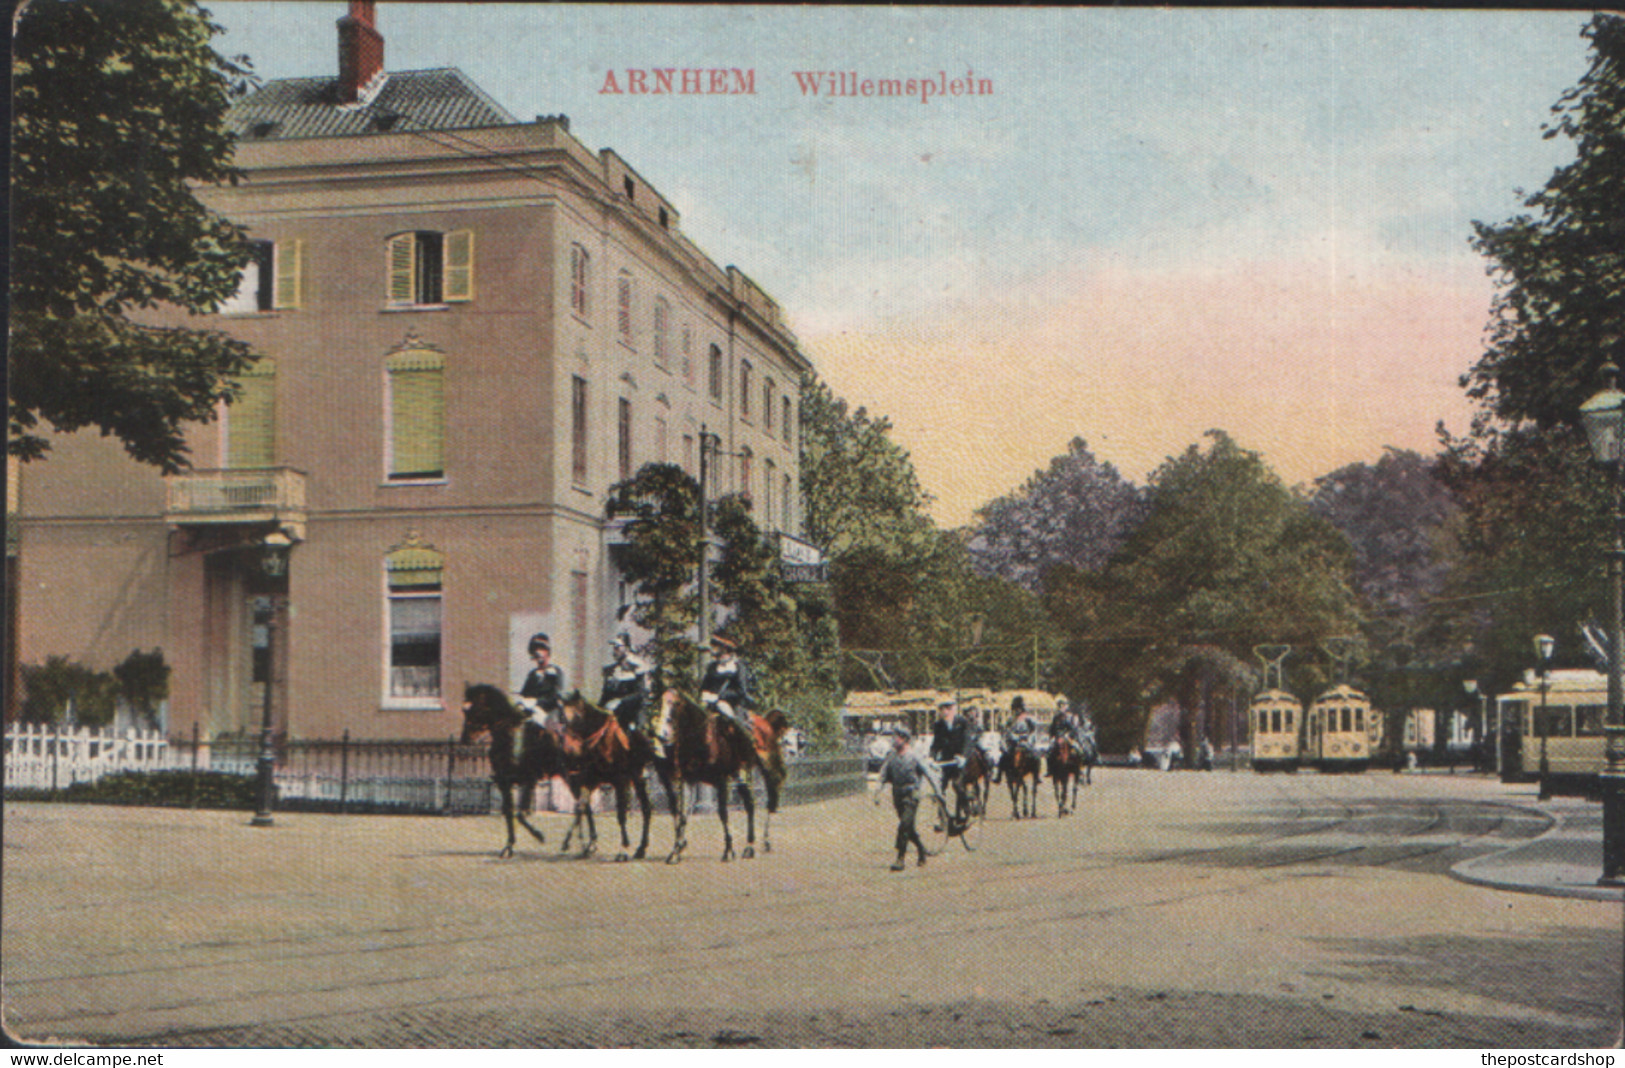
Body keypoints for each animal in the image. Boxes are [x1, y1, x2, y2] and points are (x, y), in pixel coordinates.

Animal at [464, 682, 572, 858]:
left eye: (475, 709)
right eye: (464, 710)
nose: (466, 738)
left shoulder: (528, 780)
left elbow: (520, 814)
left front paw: (539, 835)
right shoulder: (505, 783)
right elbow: (510, 813)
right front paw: (508, 846)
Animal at [555, 692, 656, 858]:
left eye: (578, 716)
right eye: (561, 716)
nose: (570, 750)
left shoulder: (620, 781)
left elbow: (621, 814)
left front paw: (623, 848)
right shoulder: (586, 781)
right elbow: (583, 809)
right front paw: (585, 844)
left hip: (638, 778)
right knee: (647, 808)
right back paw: (641, 848)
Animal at [653, 692, 793, 858]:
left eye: (676, 704)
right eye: (661, 703)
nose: (662, 735)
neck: (702, 740)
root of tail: (766, 722)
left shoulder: (721, 780)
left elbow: (722, 813)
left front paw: (728, 850)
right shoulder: (688, 780)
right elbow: (682, 814)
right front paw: (675, 851)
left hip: (766, 769)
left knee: (770, 801)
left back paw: (763, 841)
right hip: (740, 774)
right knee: (750, 804)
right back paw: (750, 846)